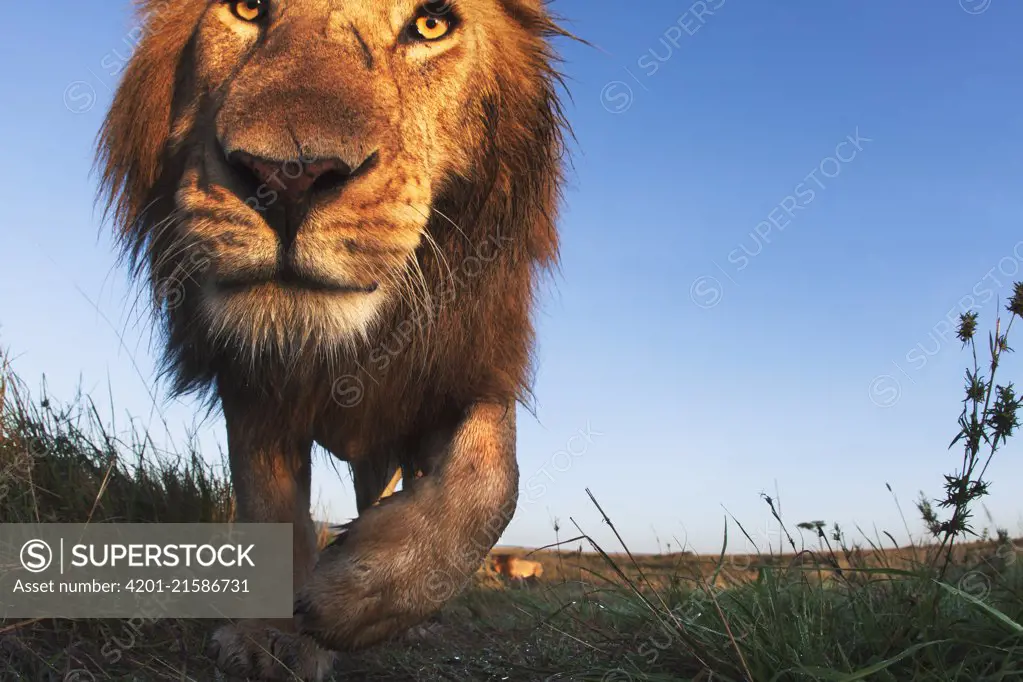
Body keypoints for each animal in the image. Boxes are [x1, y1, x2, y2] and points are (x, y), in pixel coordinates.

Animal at [96, 1, 568, 682]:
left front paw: (356, 596)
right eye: (245, 9)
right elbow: (270, 509)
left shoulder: (465, 368)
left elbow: (492, 482)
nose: (288, 176)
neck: (338, 352)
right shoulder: (255, 392)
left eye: (432, 24)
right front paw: (265, 637)